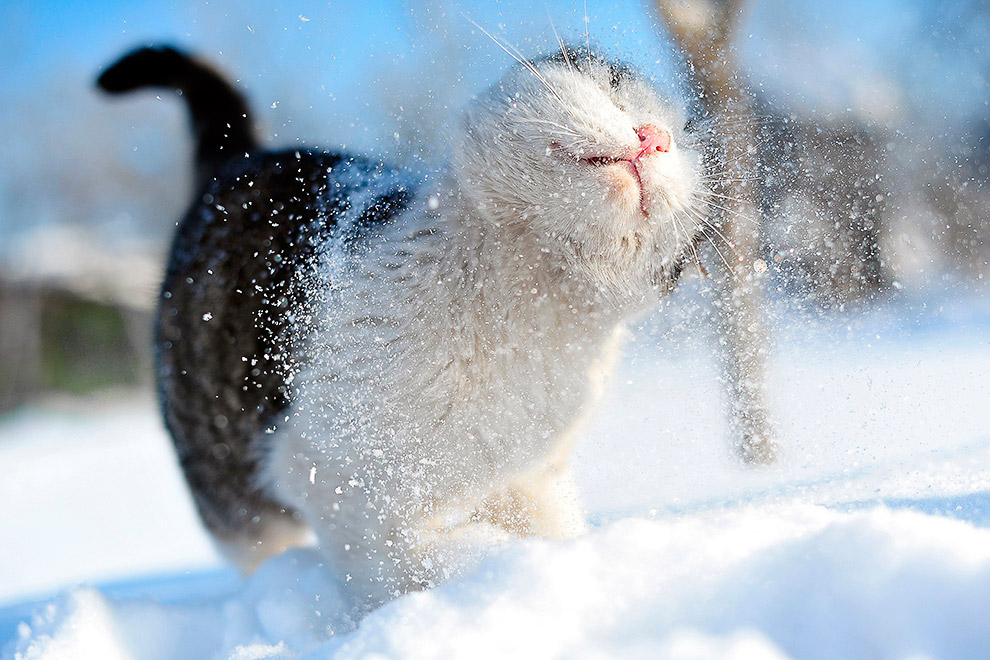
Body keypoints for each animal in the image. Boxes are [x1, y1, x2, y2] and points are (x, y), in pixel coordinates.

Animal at [99, 43, 712, 612]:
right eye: (616, 90)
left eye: (683, 144)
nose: (655, 136)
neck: (519, 311)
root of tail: (243, 157)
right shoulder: (333, 481)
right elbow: (404, 567)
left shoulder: (529, 476)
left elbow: (548, 529)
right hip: (229, 484)